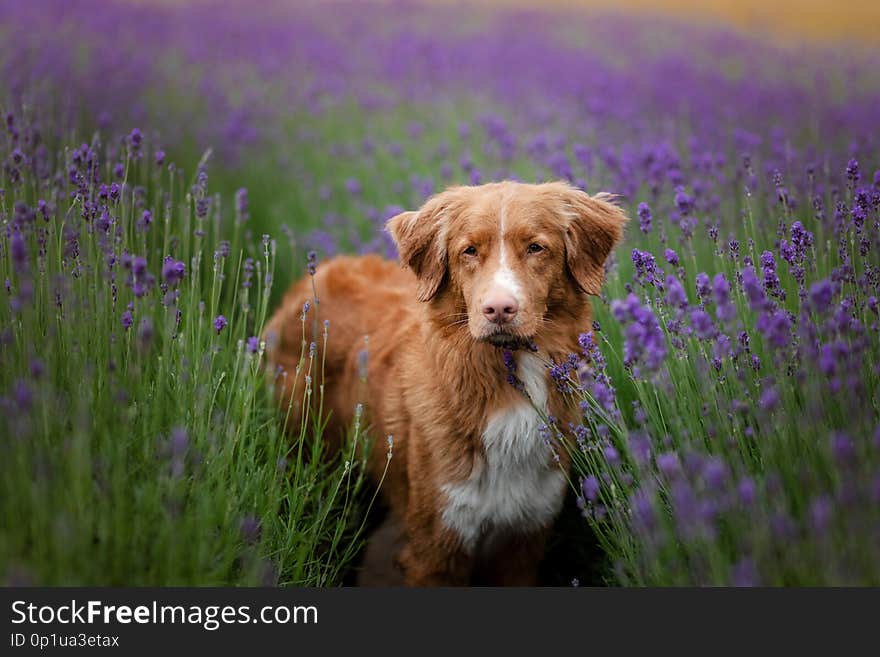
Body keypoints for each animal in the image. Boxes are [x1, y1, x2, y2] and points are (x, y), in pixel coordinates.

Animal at [262, 179, 624, 584]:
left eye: (535, 247)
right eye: (469, 250)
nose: (499, 309)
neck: (507, 378)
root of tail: (318, 272)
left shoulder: (524, 539)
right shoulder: (437, 544)